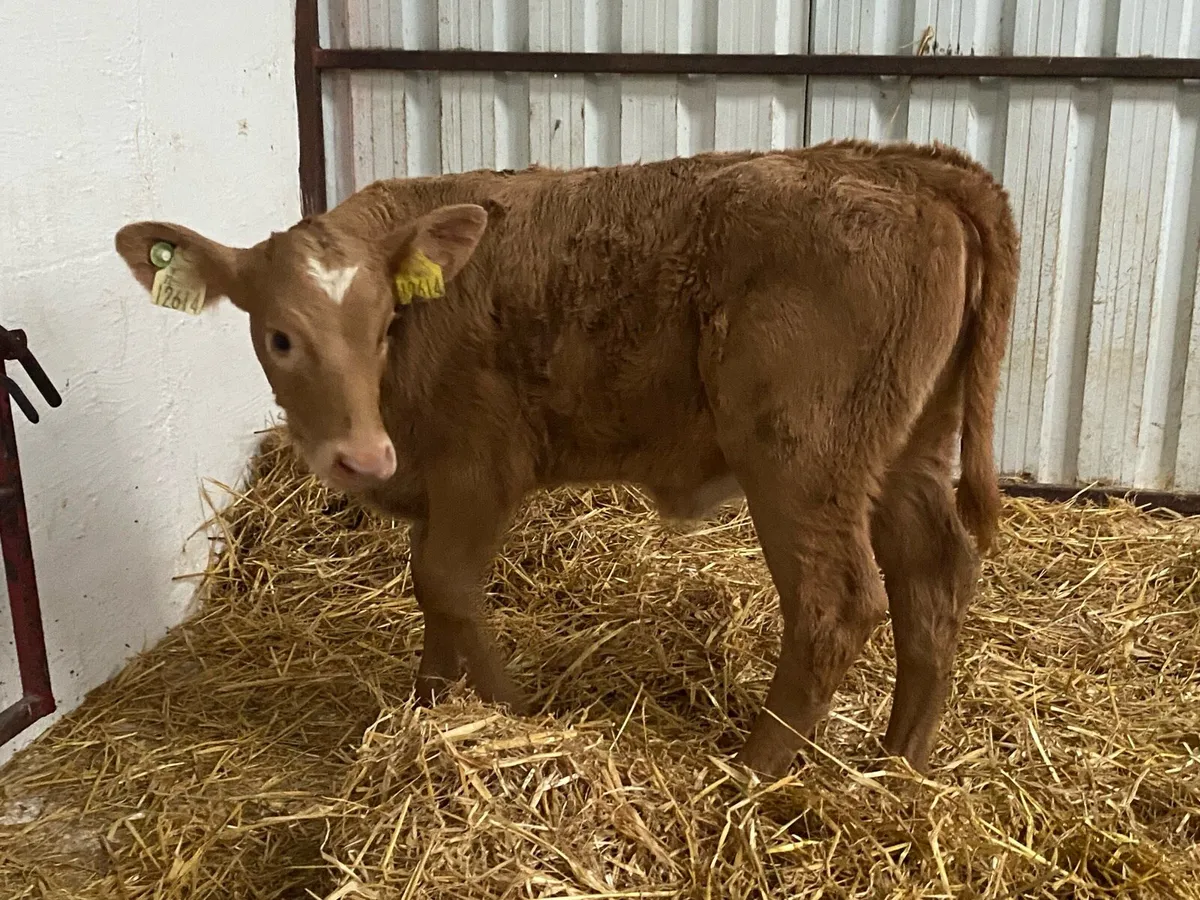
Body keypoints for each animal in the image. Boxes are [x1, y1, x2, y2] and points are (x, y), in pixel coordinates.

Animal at [115, 138, 1018, 778]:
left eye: (381, 328)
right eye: (279, 337)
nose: (360, 458)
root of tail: (904, 165)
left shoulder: (481, 466)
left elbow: (446, 585)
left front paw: (510, 715)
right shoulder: (433, 485)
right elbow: (430, 598)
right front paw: (427, 709)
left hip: (803, 457)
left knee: (836, 604)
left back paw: (751, 774)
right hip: (908, 449)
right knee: (934, 580)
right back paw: (900, 768)